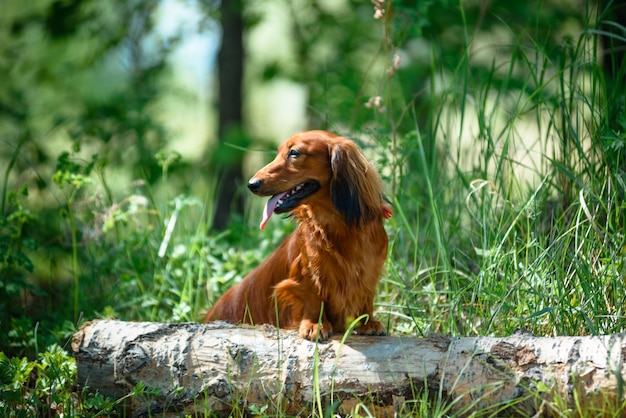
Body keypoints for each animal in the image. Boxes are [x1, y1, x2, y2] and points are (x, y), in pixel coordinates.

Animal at [204, 131, 390, 340]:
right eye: (278, 152)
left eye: (294, 153)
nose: (251, 184)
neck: (340, 228)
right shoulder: (308, 270)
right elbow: (312, 296)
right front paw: (315, 324)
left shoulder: (371, 269)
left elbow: (366, 295)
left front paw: (368, 322)